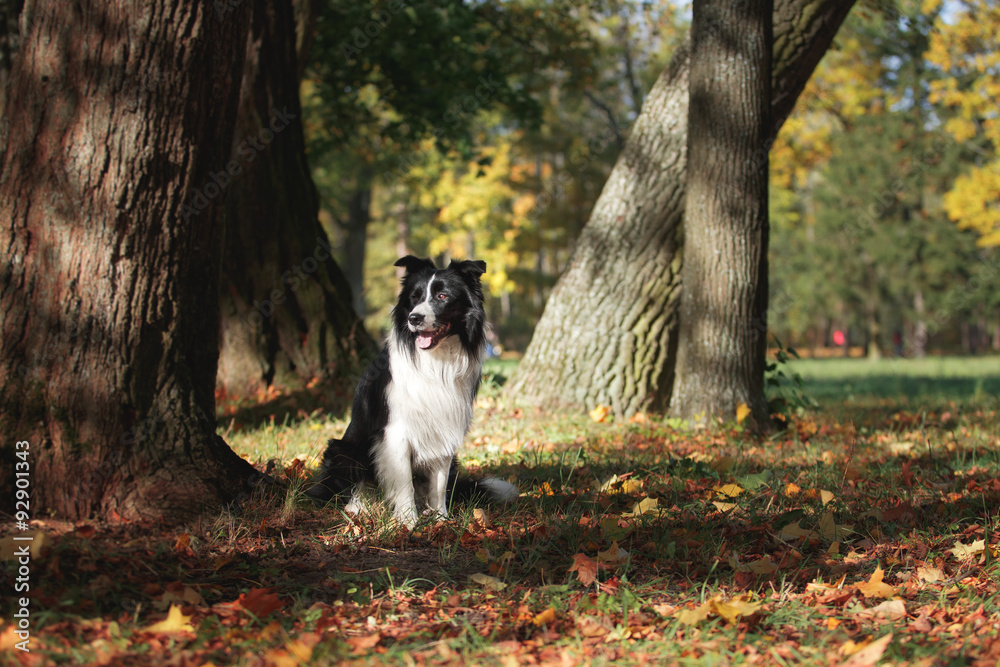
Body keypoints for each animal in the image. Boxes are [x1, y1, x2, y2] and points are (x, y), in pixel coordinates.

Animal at [306, 256, 516, 528]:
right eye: (414, 297)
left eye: (442, 296)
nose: (414, 318)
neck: (436, 360)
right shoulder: (396, 432)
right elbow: (403, 478)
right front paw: (407, 521)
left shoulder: (444, 430)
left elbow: (439, 484)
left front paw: (440, 518)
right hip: (343, 449)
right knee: (346, 486)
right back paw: (357, 506)